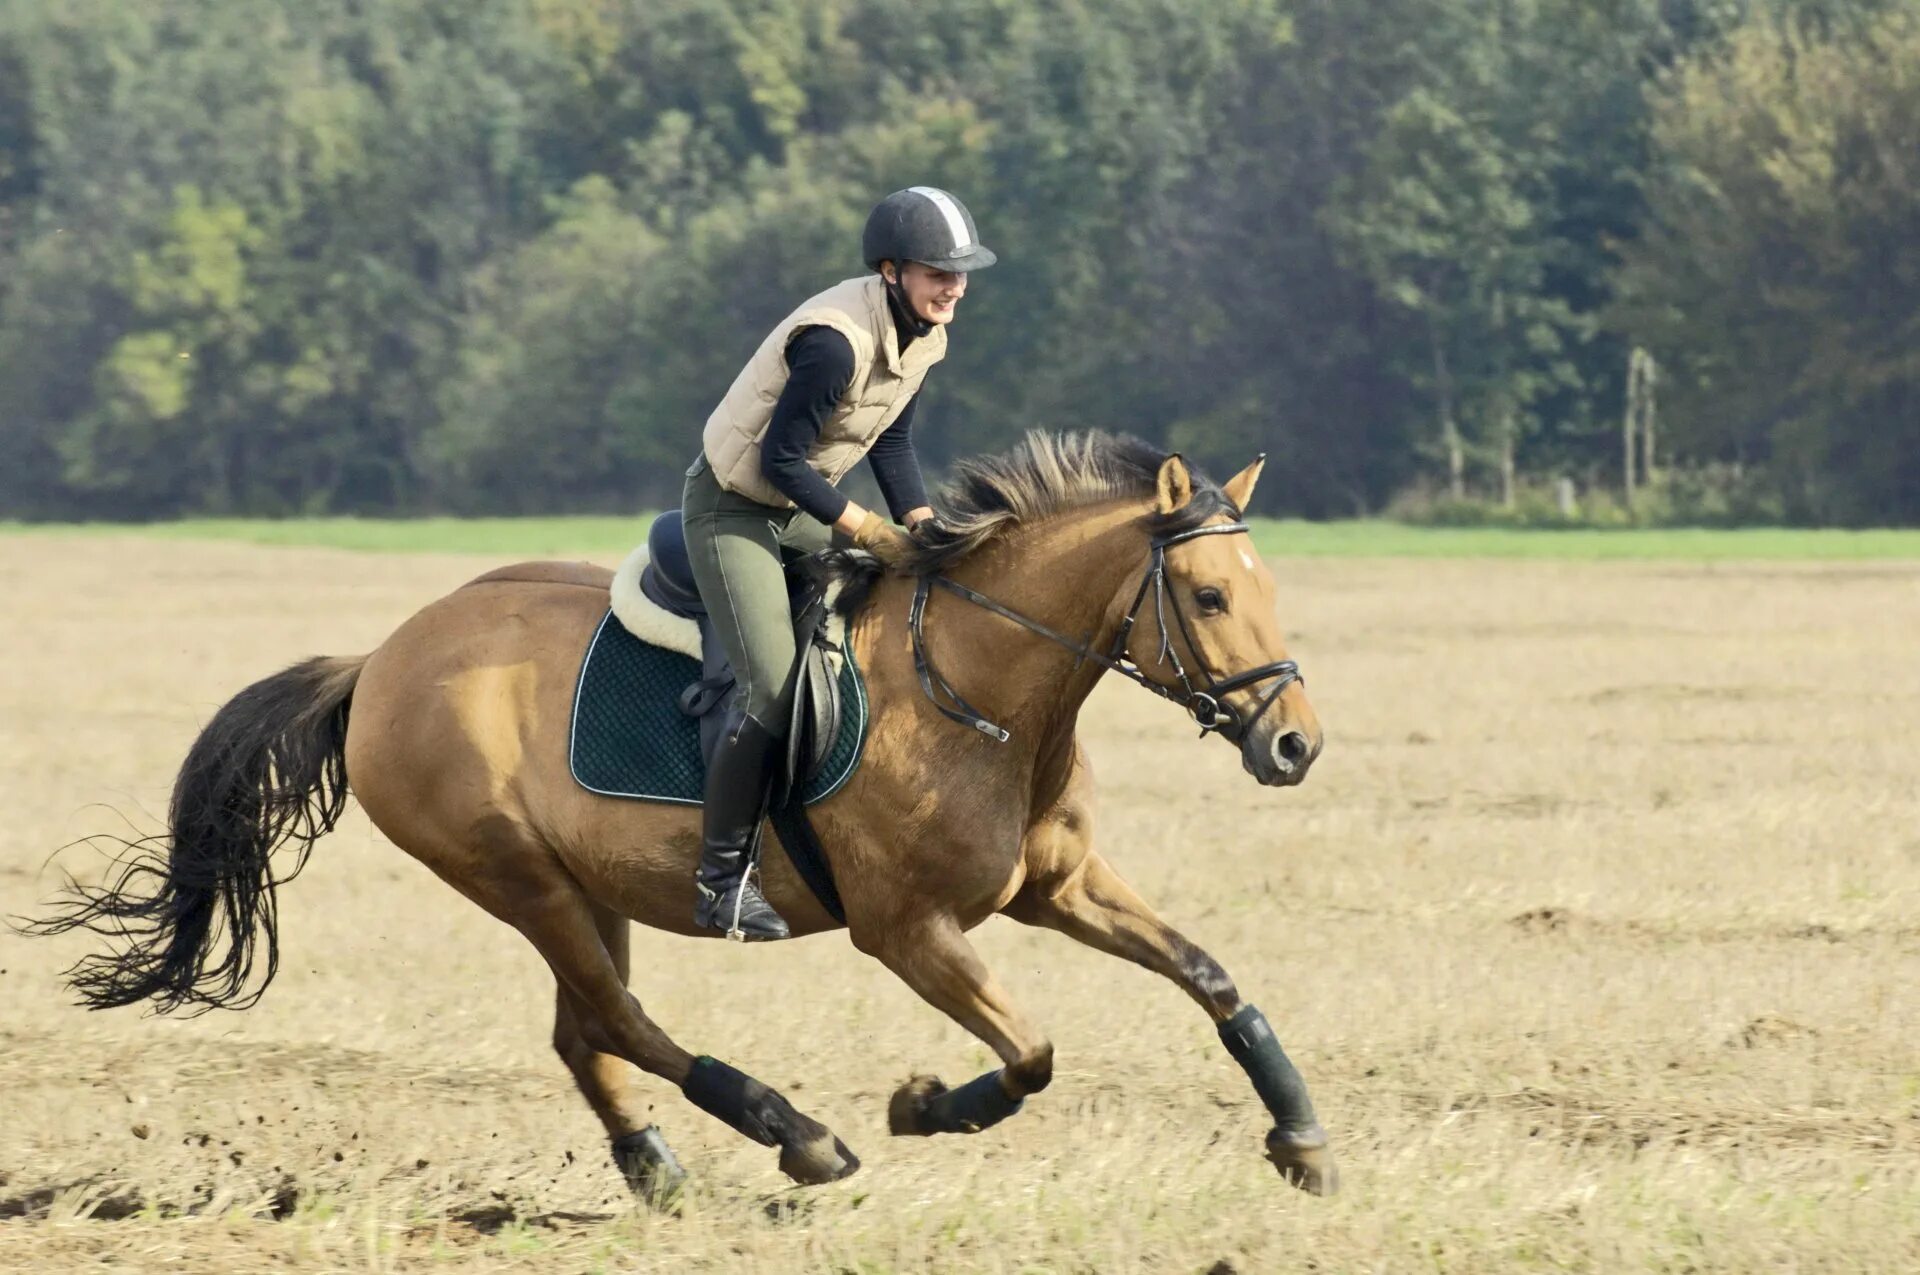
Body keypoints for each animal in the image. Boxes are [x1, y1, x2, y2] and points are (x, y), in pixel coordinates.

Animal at [33, 433, 1351, 1198]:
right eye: (1209, 594)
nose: (1295, 744)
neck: (982, 687)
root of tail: (382, 660)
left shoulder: (1060, 886)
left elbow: (1213, 978)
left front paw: (1300, 1138)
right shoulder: (908, 931)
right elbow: (1028, 1055)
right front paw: (922, 1108)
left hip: (580, 887)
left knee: (585, 1033)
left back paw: (658, 1170)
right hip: (517, 877)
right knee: (619, 1020)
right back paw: (795, 1135)